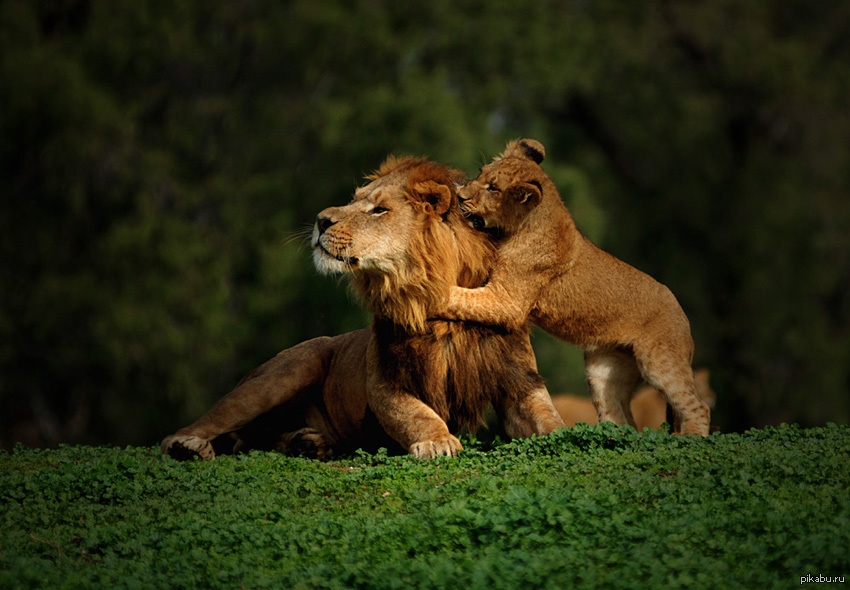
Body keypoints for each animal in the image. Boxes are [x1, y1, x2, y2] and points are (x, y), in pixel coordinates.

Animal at [162, 156, 568, 462]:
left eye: (379, 210)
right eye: (354, 199)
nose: (320, 220)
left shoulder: (519, 380)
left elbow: (547, 417)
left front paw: (571, 434)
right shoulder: (385, 382)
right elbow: (418, 414)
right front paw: (437, 441)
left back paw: (307, 443)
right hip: (283, 374)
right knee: (207, 425)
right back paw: (188, 447)